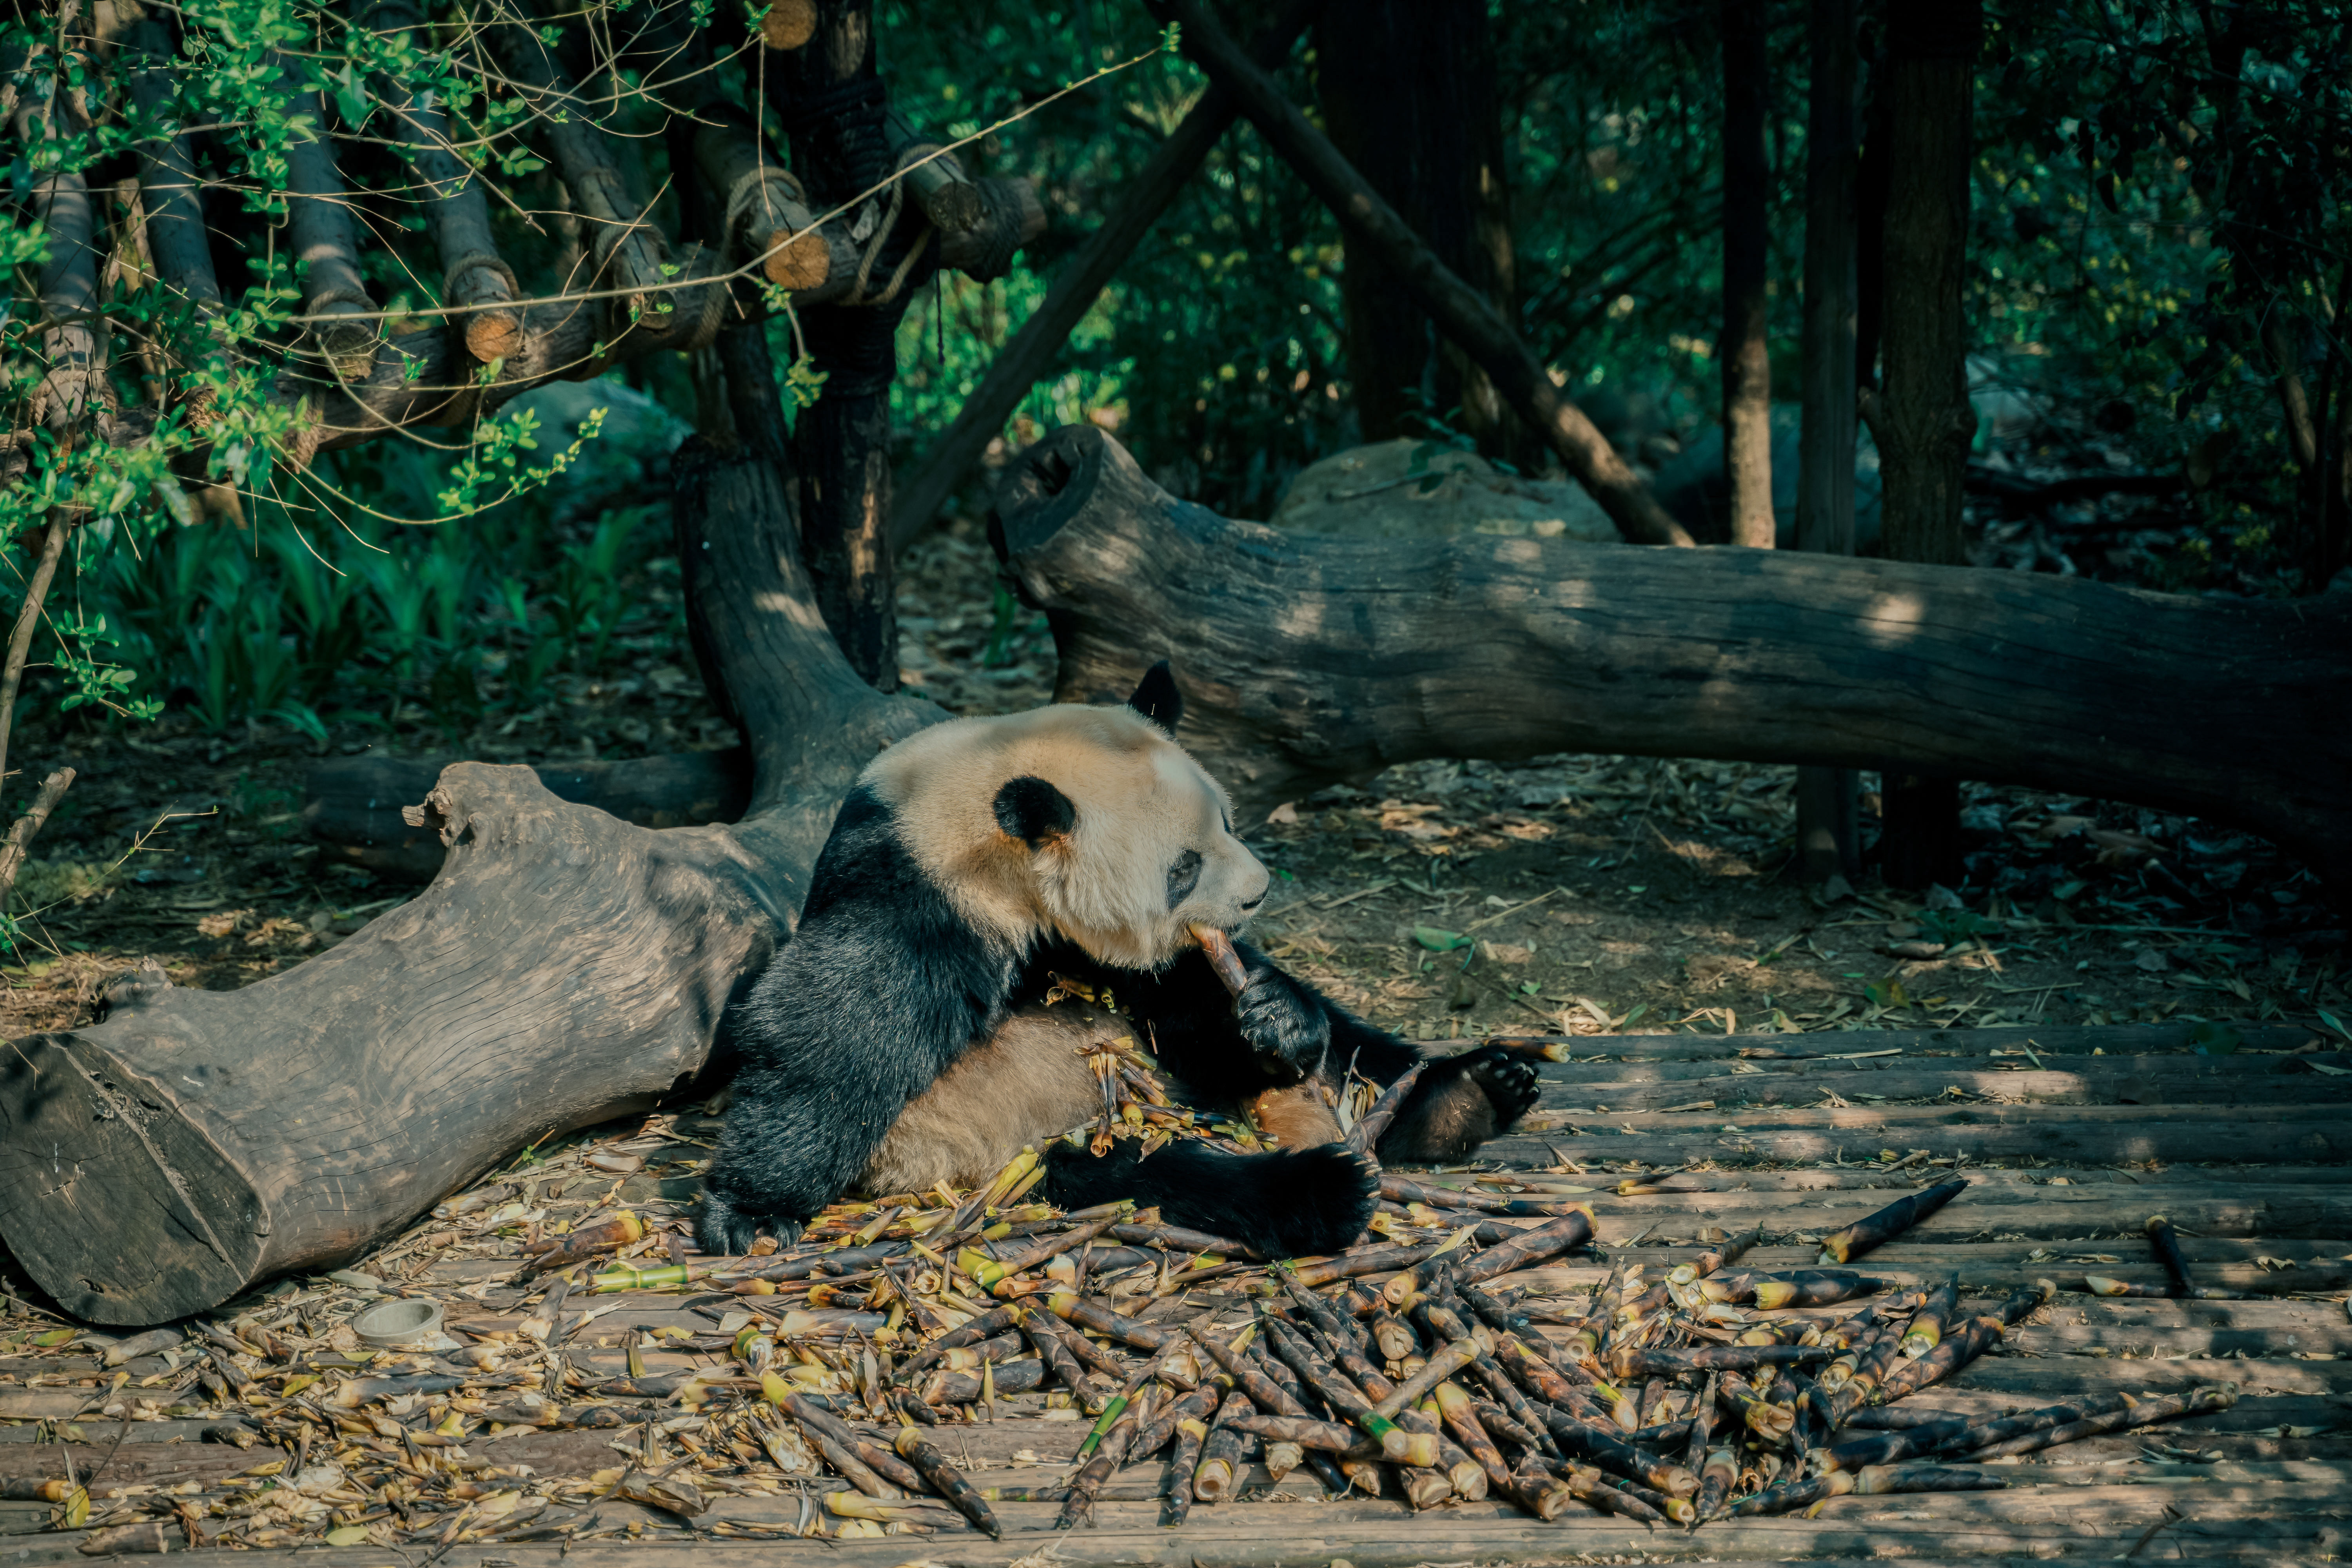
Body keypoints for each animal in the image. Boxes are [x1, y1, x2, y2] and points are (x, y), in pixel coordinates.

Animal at [691, 668, 1543, 1260]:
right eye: (1183, 867)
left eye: (1229, 819)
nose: (1258, 892)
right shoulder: (919, 888)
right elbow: (836, 1030)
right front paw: (749, 1211)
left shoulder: (1113, 952)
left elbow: (1190, 1005)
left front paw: (1271, 1020)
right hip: (1021, 1144)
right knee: (1157, 1174)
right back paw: (1325, 1189)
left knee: (1360, 1047)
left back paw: (1470, 1094)